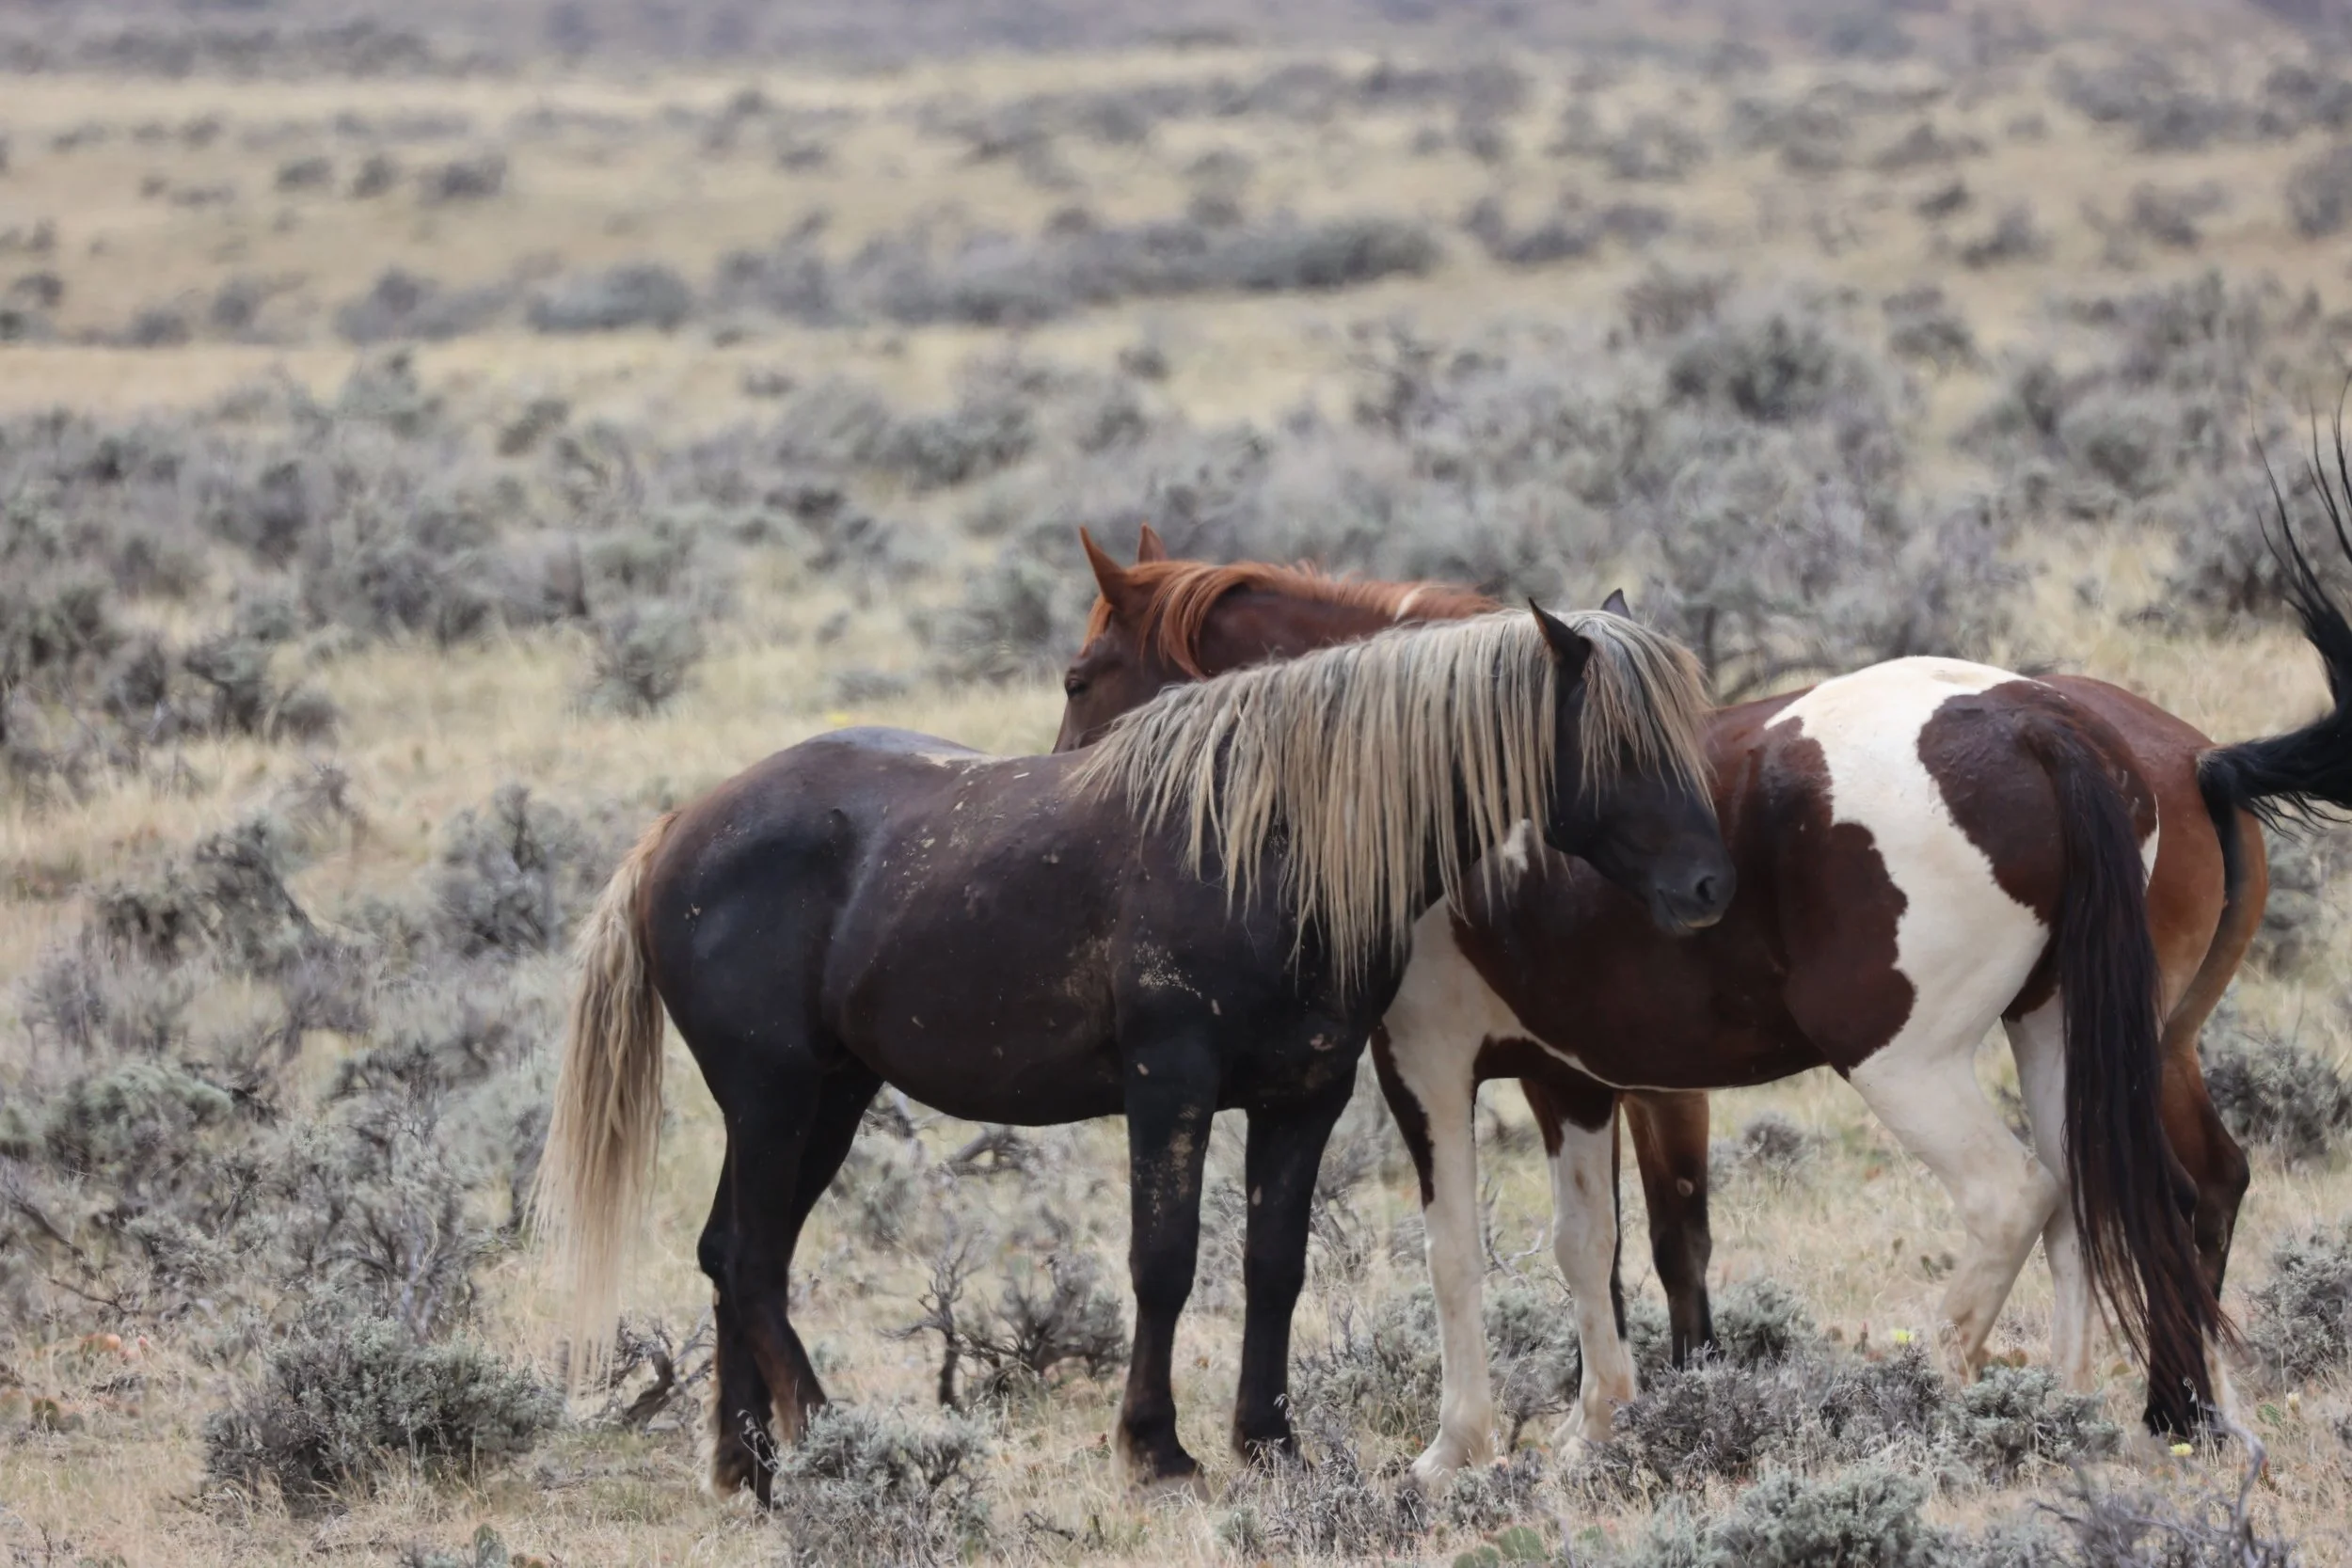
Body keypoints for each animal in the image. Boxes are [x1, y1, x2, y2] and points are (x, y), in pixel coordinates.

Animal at [532, 603, 1731, 1500]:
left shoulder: (1304, 1094)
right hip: (773, 1094)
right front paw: (1155, 1446)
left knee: (735, 1252)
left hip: (824, 1095)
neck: (1268, 841)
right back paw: (830, 1444)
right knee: (749, 1259)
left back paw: (751, 1467)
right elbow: (1164, 1262)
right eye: (1624, 745)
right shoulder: (1171, 1087)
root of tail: (677, 828)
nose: (1711, 886)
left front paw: (1269, 1441)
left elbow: (1272, 1265)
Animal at [1056, 493, 2352, 1480]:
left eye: (1079, 676)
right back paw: (2074, 1412)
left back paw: (1930, 1394)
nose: (1068, 809)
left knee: (2016, 1196)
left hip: (1908, 1061)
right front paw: (1595, 1429)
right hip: (2063, 1034)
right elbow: (1592, 1243)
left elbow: (1458, 1251)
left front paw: (1456, 1447)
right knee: (2097, 1196)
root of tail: (2040, 722)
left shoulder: (1426, 1061)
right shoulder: (1572, 1075)